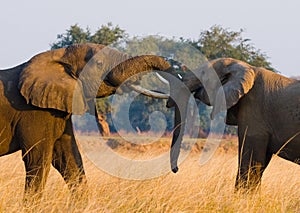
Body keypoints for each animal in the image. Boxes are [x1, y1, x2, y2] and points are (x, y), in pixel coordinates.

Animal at [0, 42, 173, 201]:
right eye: (99, 64)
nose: (169, 104)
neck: (60, 55)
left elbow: (69, 159)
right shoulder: (34, 112)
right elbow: (37, 160)